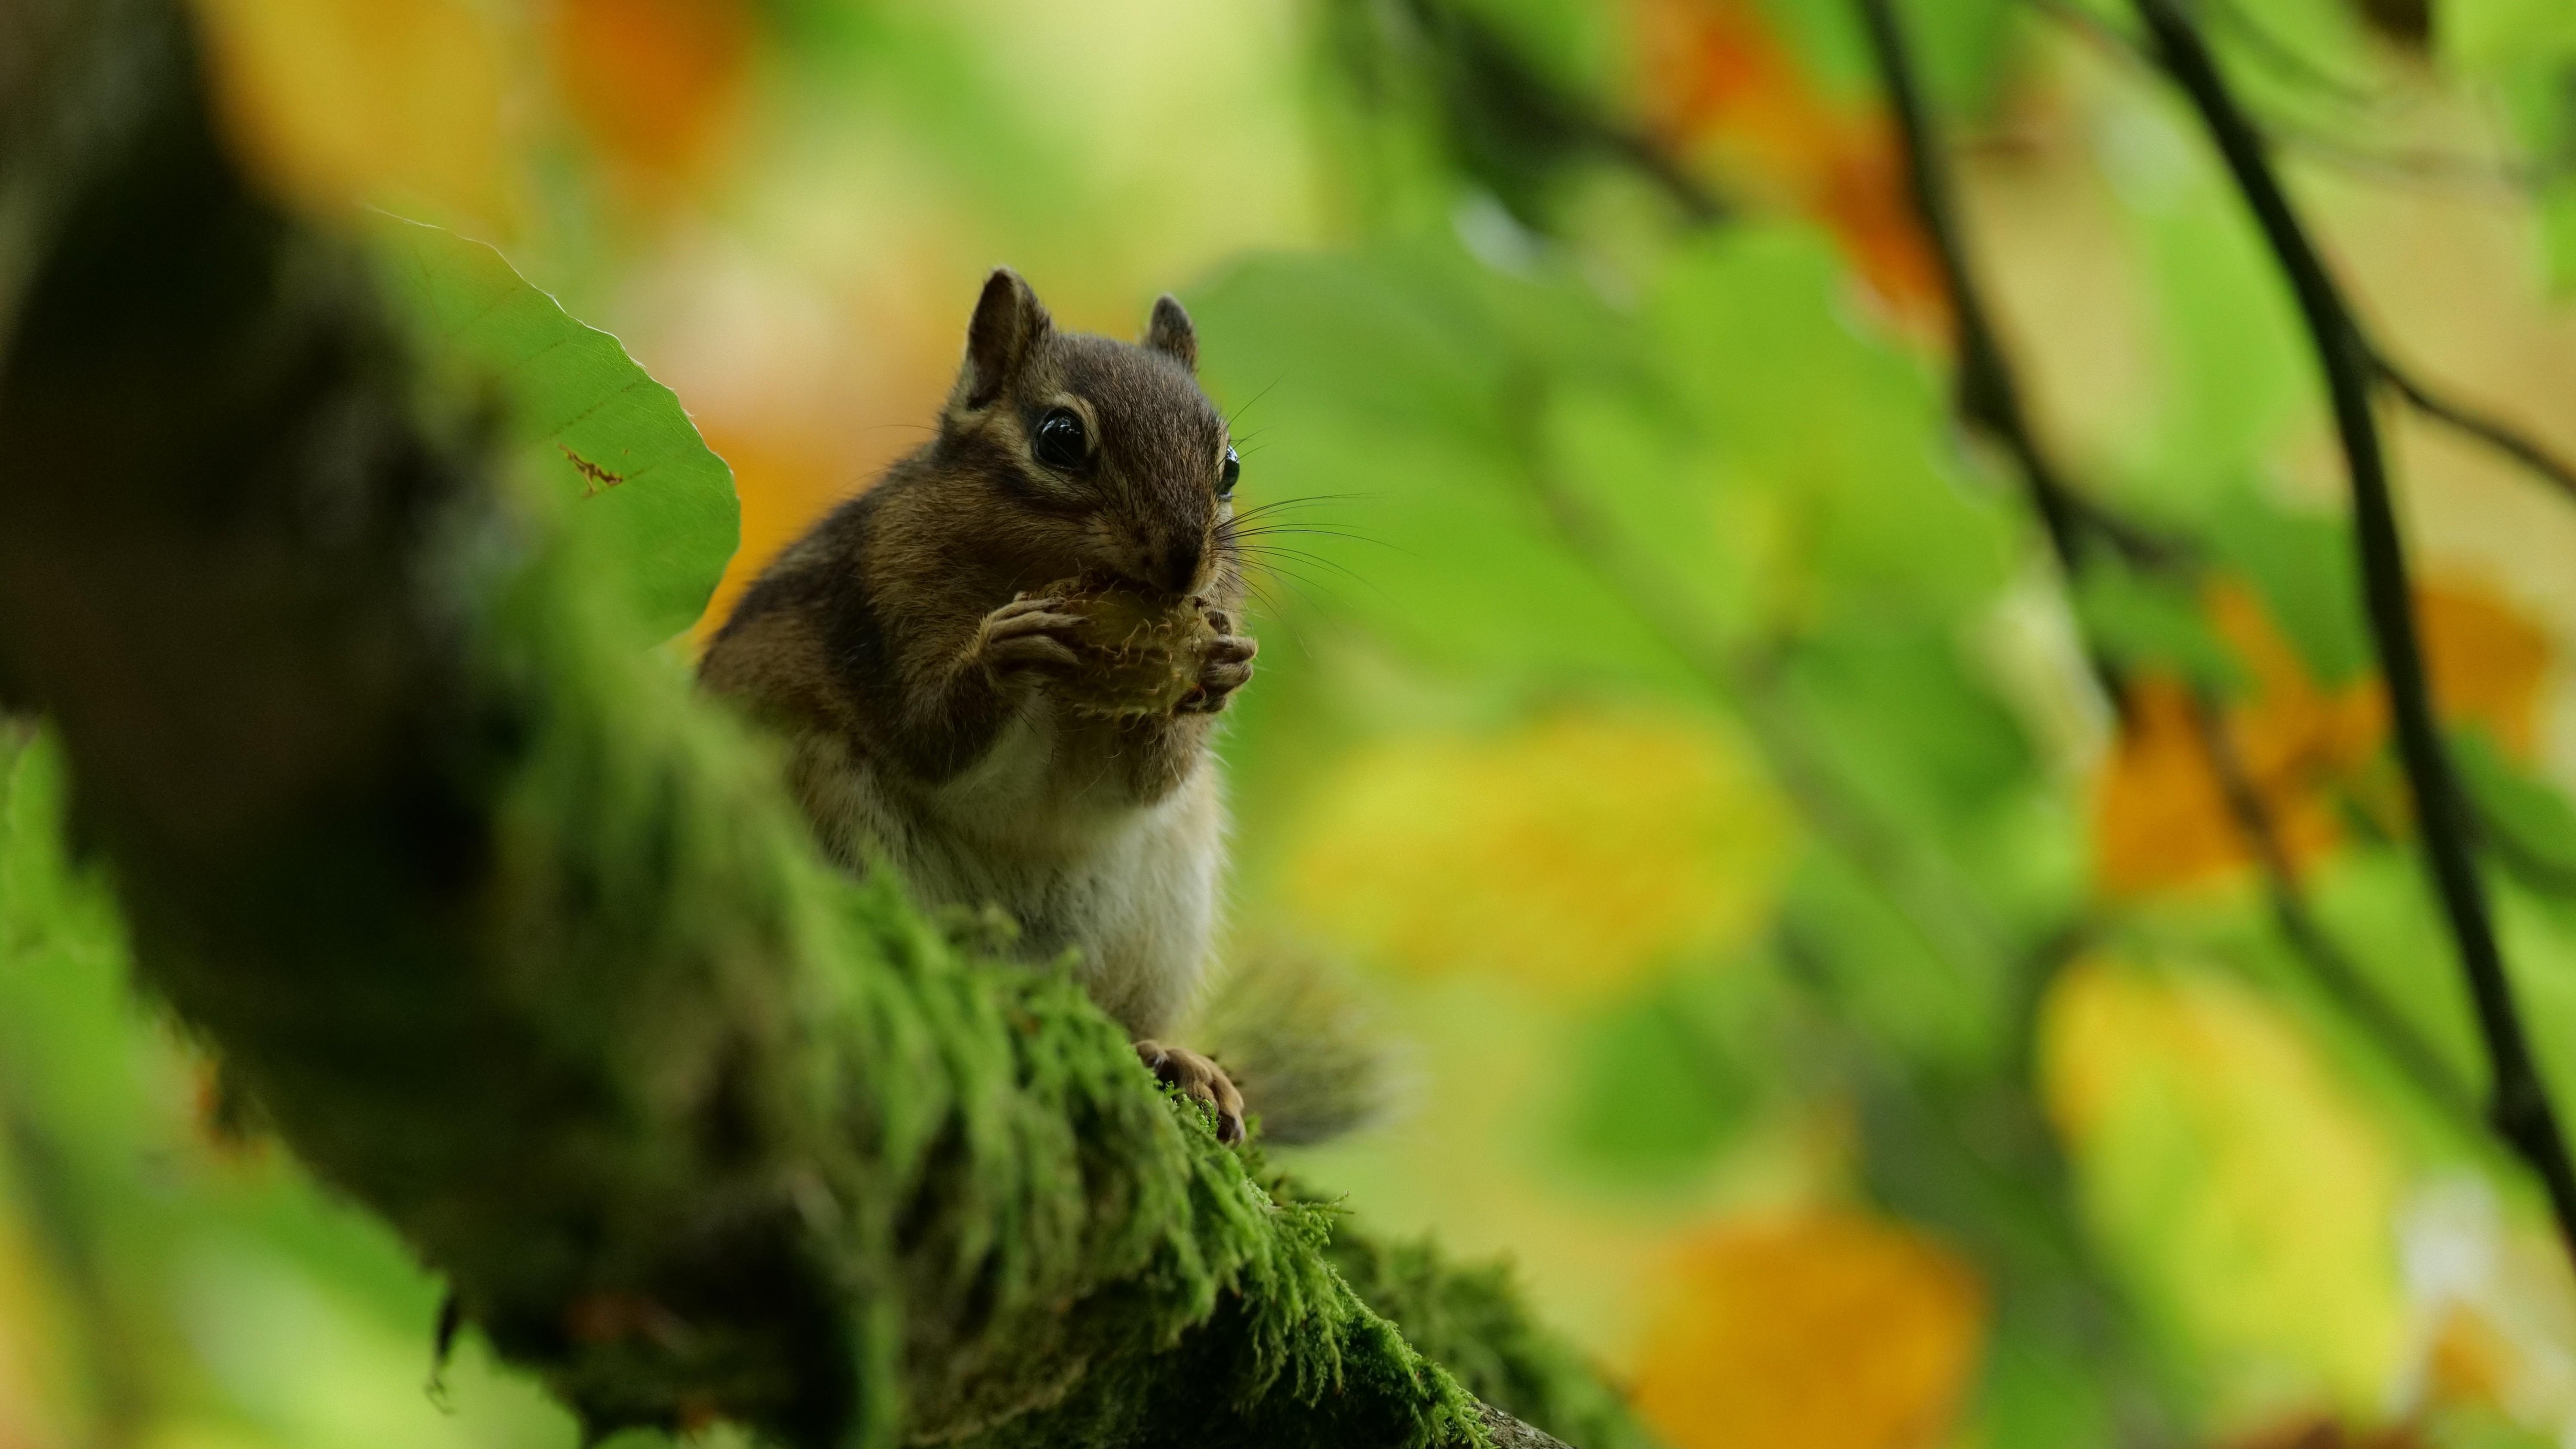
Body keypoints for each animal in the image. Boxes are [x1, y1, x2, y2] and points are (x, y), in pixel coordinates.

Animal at [699, 268, 1259, 1143]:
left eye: (1228, 465)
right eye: (1060, 437)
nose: (1183, 562)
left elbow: (1143, 783)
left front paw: (1220, 667)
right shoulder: (885, 611)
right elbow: (930, 739)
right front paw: (1005, 650)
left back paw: (1171, 1056)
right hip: (823, 799)